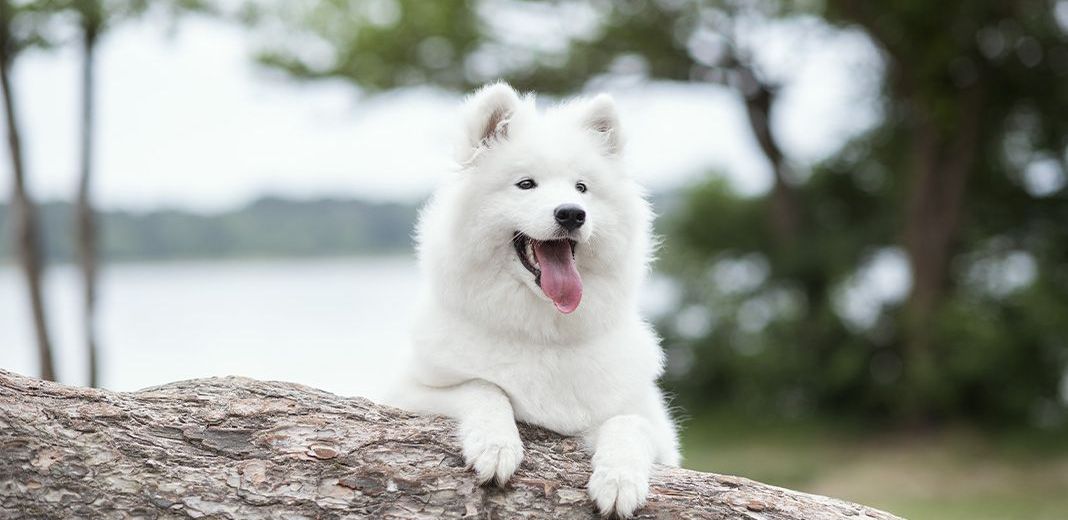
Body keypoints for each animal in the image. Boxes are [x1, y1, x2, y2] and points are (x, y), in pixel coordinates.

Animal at [390, 83, 674, 518]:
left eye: (581, 188)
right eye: (526, 185)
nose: (572, 213)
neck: (544, 335)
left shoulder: (656, 428)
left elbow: (628, 424)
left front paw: (619, 480)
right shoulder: (406, 391)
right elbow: (483, 388)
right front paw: (495, 445)